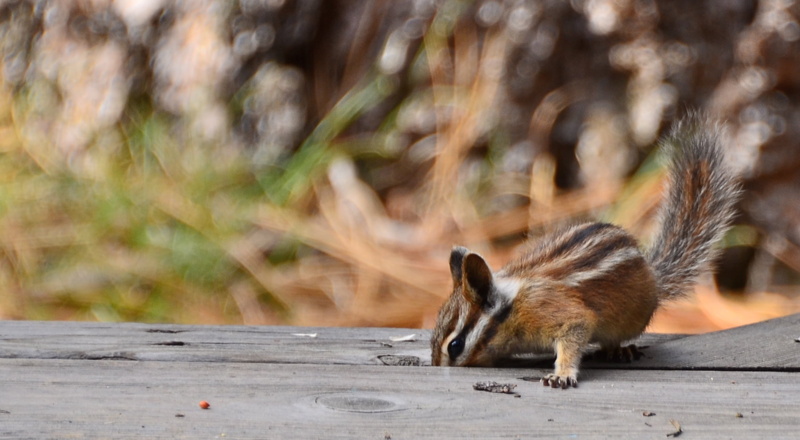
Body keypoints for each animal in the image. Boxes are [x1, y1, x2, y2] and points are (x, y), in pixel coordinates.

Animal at [430, 114, 740, 389]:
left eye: (455, 346)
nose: (437, 367)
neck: (509, 308)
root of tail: (653, 275)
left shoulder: (555, 313)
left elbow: (574, 333)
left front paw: (562, 374)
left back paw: (619, 349)